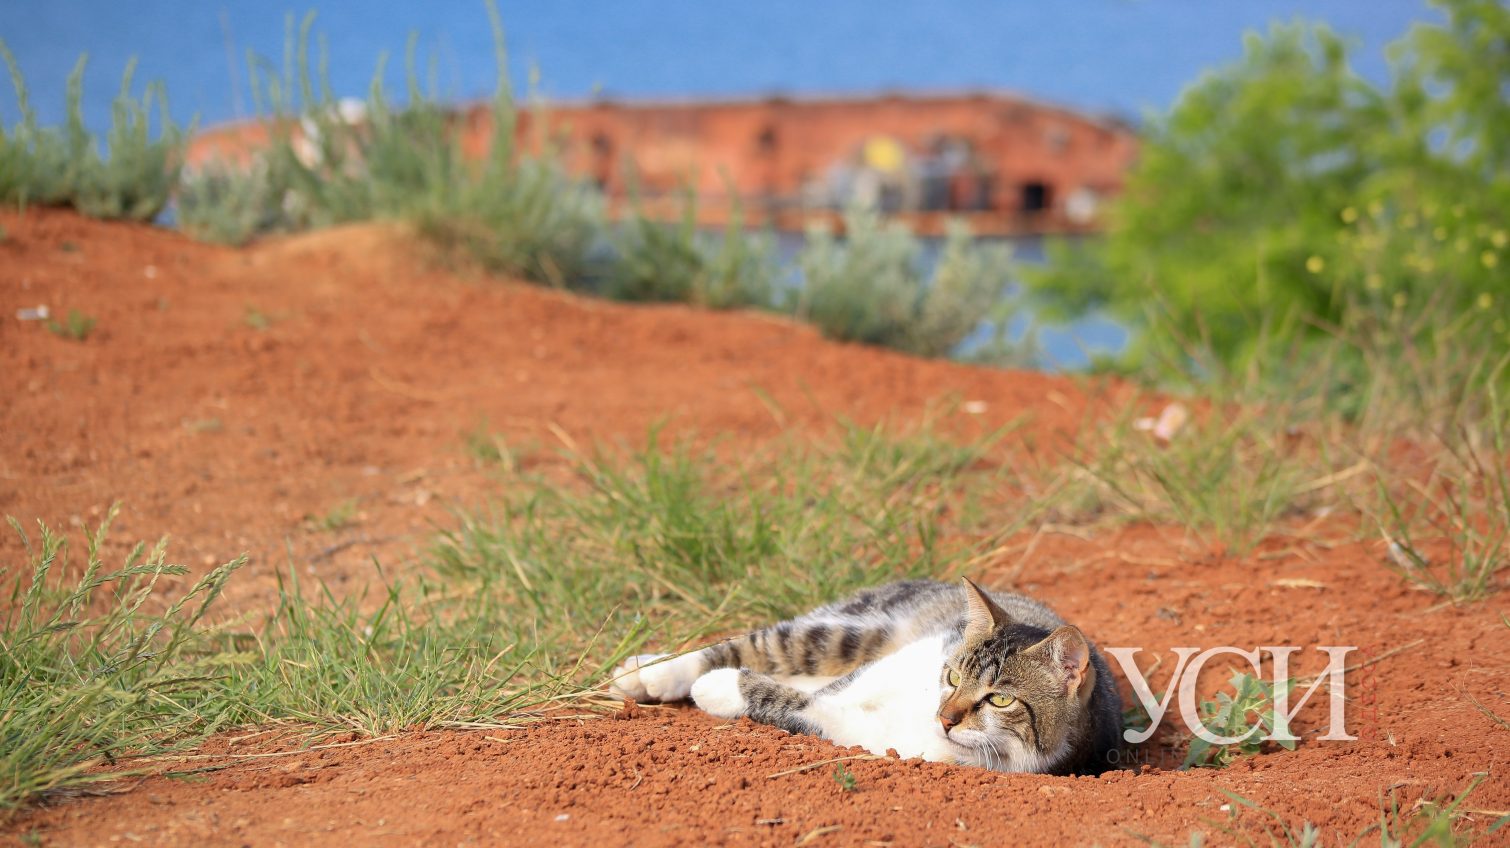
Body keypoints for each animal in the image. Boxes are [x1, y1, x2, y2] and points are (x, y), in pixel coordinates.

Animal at [610, 573, 1123, 772]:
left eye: (1001, 699)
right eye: (953, 677)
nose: (944, 718)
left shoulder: (878, 738)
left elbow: (805, 706)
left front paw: (722, 689)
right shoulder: (911, 656)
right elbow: (840, 686)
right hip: (850, 632)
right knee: (760, 644)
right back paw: (646, 673)